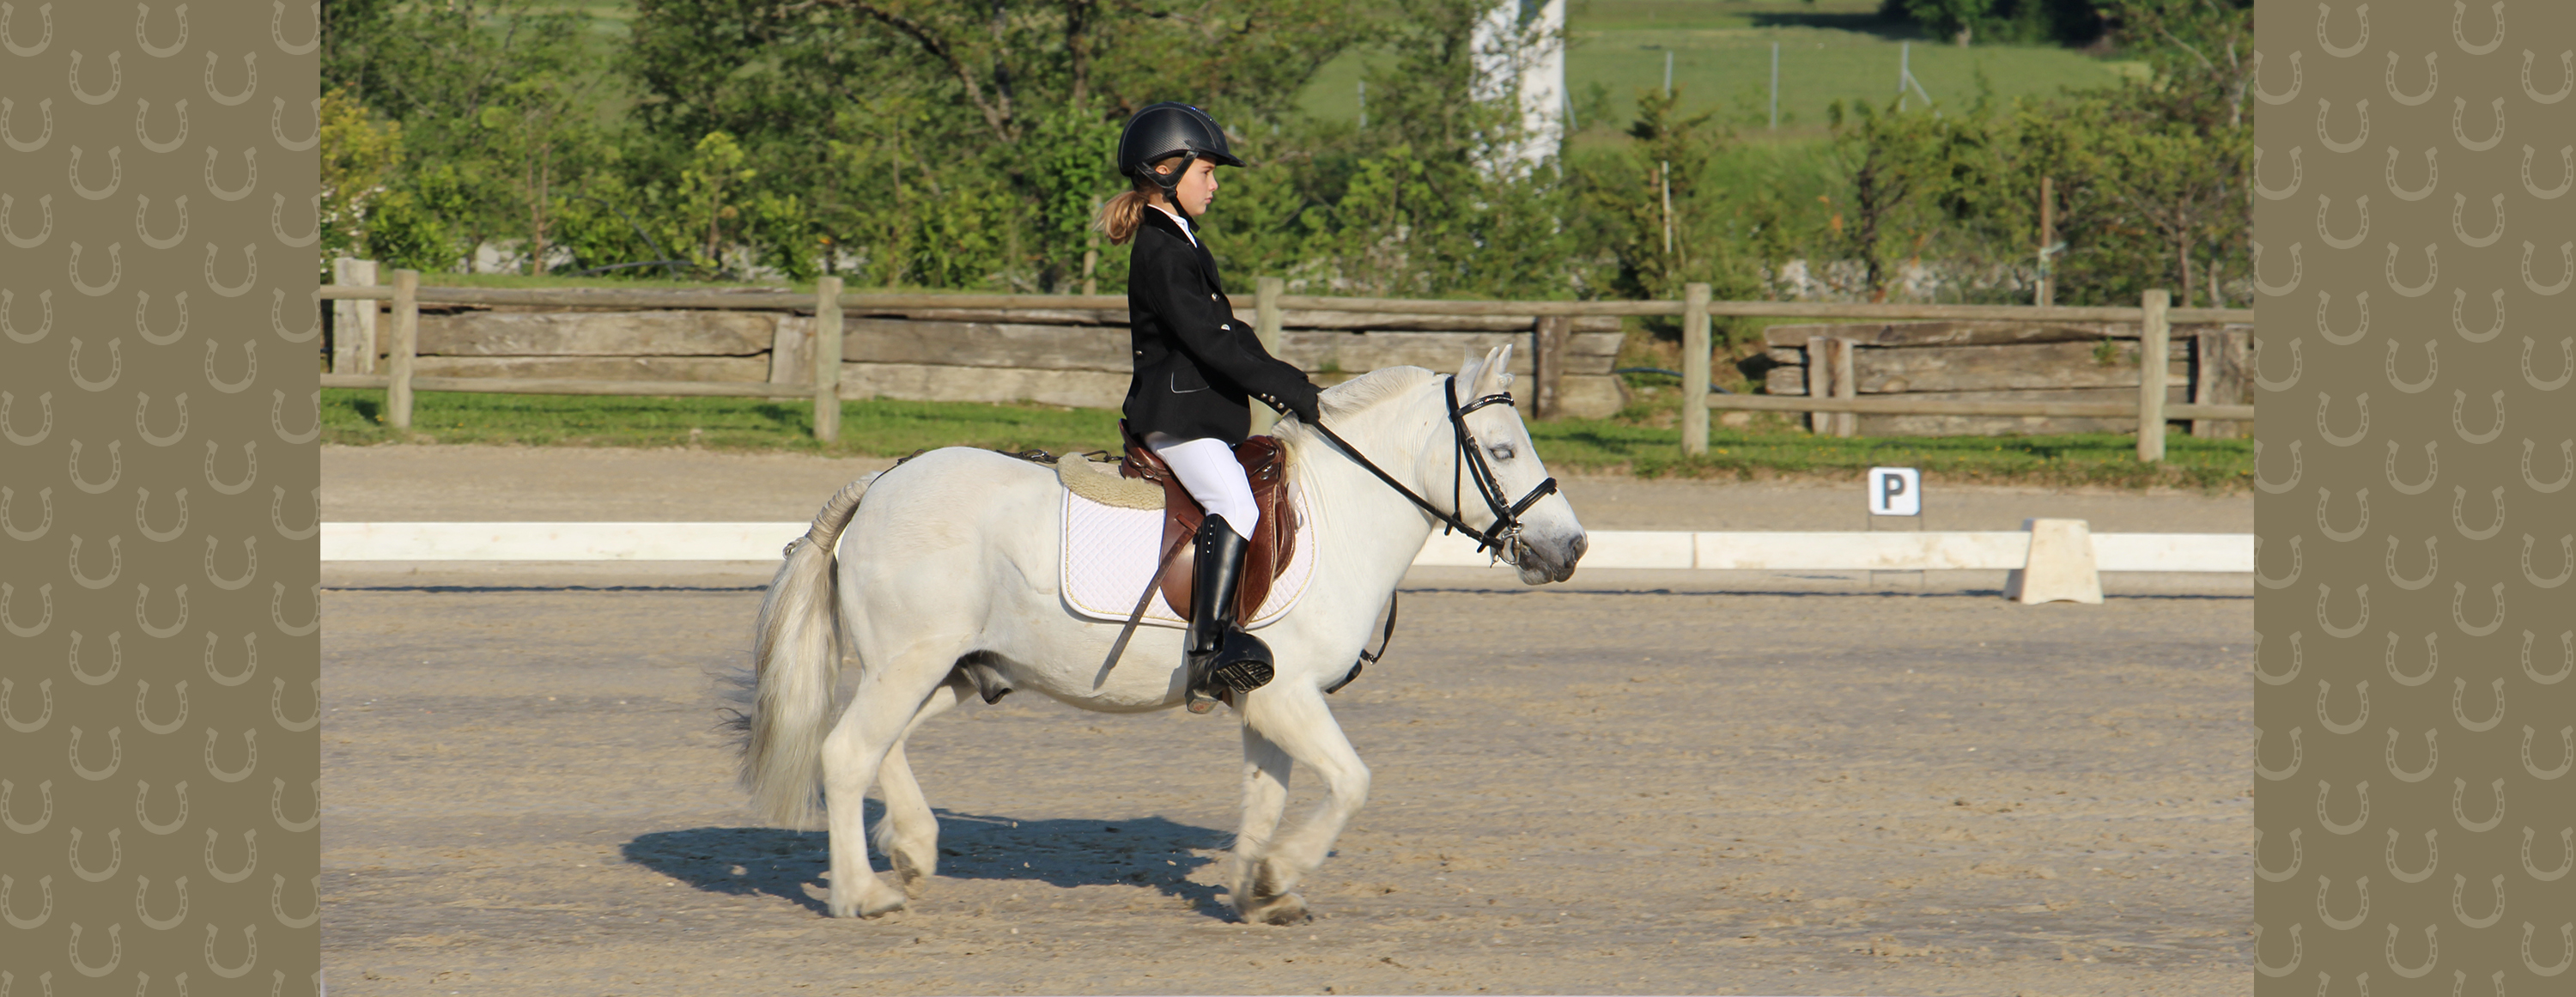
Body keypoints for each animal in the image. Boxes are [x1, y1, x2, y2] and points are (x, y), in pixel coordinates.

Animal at [726, 348, 1587, 927]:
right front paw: (1279, 874)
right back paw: (862, 892)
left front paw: (1257, 890)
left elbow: (1267, 793)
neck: (1340, 509)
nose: (1571, 547)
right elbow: (1350, 781)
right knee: (847, 753)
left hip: (953, 669)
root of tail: (880, 483)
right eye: (1503, 450)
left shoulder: (1267, 703)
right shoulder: (1291, 696)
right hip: (912, 664)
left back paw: (912, 849)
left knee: (883, 746)